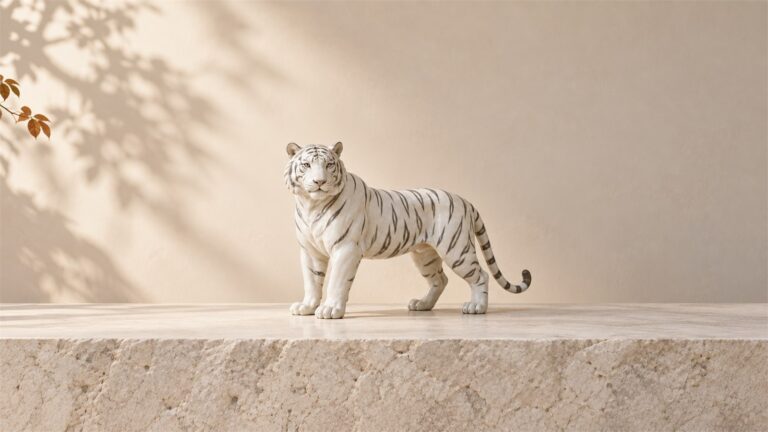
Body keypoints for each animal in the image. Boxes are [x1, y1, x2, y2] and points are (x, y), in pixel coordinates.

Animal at [284, 141, 531, 319]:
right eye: (306, 165)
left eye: (329, 165)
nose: (319, 182)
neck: (311, 205)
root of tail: (465, 201)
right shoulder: (310, 251)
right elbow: (311, 281)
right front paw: (307, 306)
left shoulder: (345, 249)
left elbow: (336, 281)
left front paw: (330, 309)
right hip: (425, 255)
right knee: (440, 279)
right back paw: (422, 304)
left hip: (457, 249)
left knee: (480, 275)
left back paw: (476, 307)